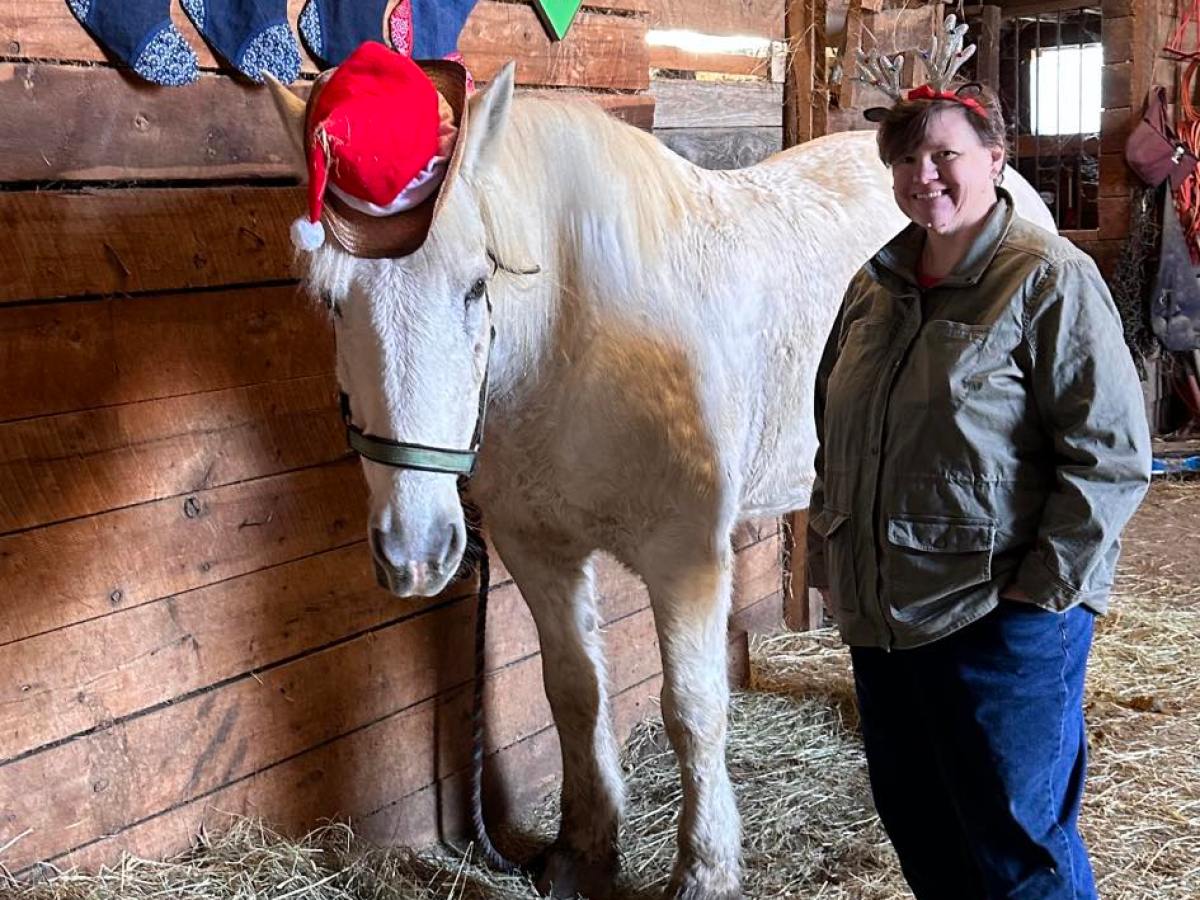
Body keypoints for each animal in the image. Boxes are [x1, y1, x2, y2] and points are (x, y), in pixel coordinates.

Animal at [267, 64, 1054, 900]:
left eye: (477, 285)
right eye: (332, 301)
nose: (415, 552)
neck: (577, 337)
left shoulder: (687, 556)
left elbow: (693, 709)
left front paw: (705, 869)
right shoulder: (538, 550)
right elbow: (574, 694)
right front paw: (583, 852)